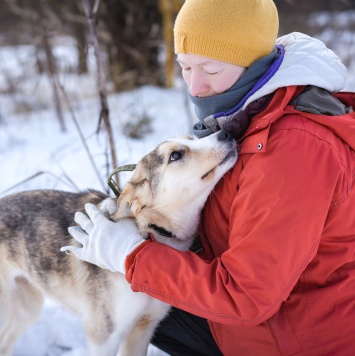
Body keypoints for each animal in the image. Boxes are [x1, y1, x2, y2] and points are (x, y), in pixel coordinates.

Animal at [0, 132, 239, 354]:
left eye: (193, 138)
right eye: (175, 155)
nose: (224, 133)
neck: (149, 231)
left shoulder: (143, 328)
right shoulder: (103, 337)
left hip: (27, 308)